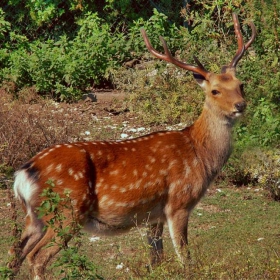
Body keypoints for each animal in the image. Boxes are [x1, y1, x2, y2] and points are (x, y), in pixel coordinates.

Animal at [7, 13, 256, 280]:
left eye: (241, 84)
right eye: (215, 91)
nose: (240, 105)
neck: (200, 154)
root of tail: (23, 174)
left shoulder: (154, 214)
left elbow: (156, 259)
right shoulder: (178, 202)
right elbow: (185, 257)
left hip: (34, 217)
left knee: (14, 253)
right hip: (67, 211)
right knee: (37, 257)